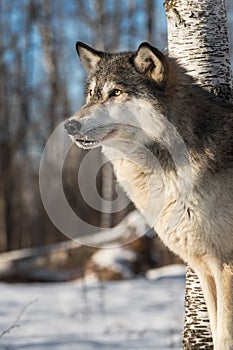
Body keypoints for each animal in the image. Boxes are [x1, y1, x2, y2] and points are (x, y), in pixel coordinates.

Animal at [64, 42, 233, 348]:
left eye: (116, 93)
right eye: (92, 94)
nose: (69, 126)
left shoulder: (225, 265)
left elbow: (225, 337)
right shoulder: (205, 268)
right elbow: (216, 333)